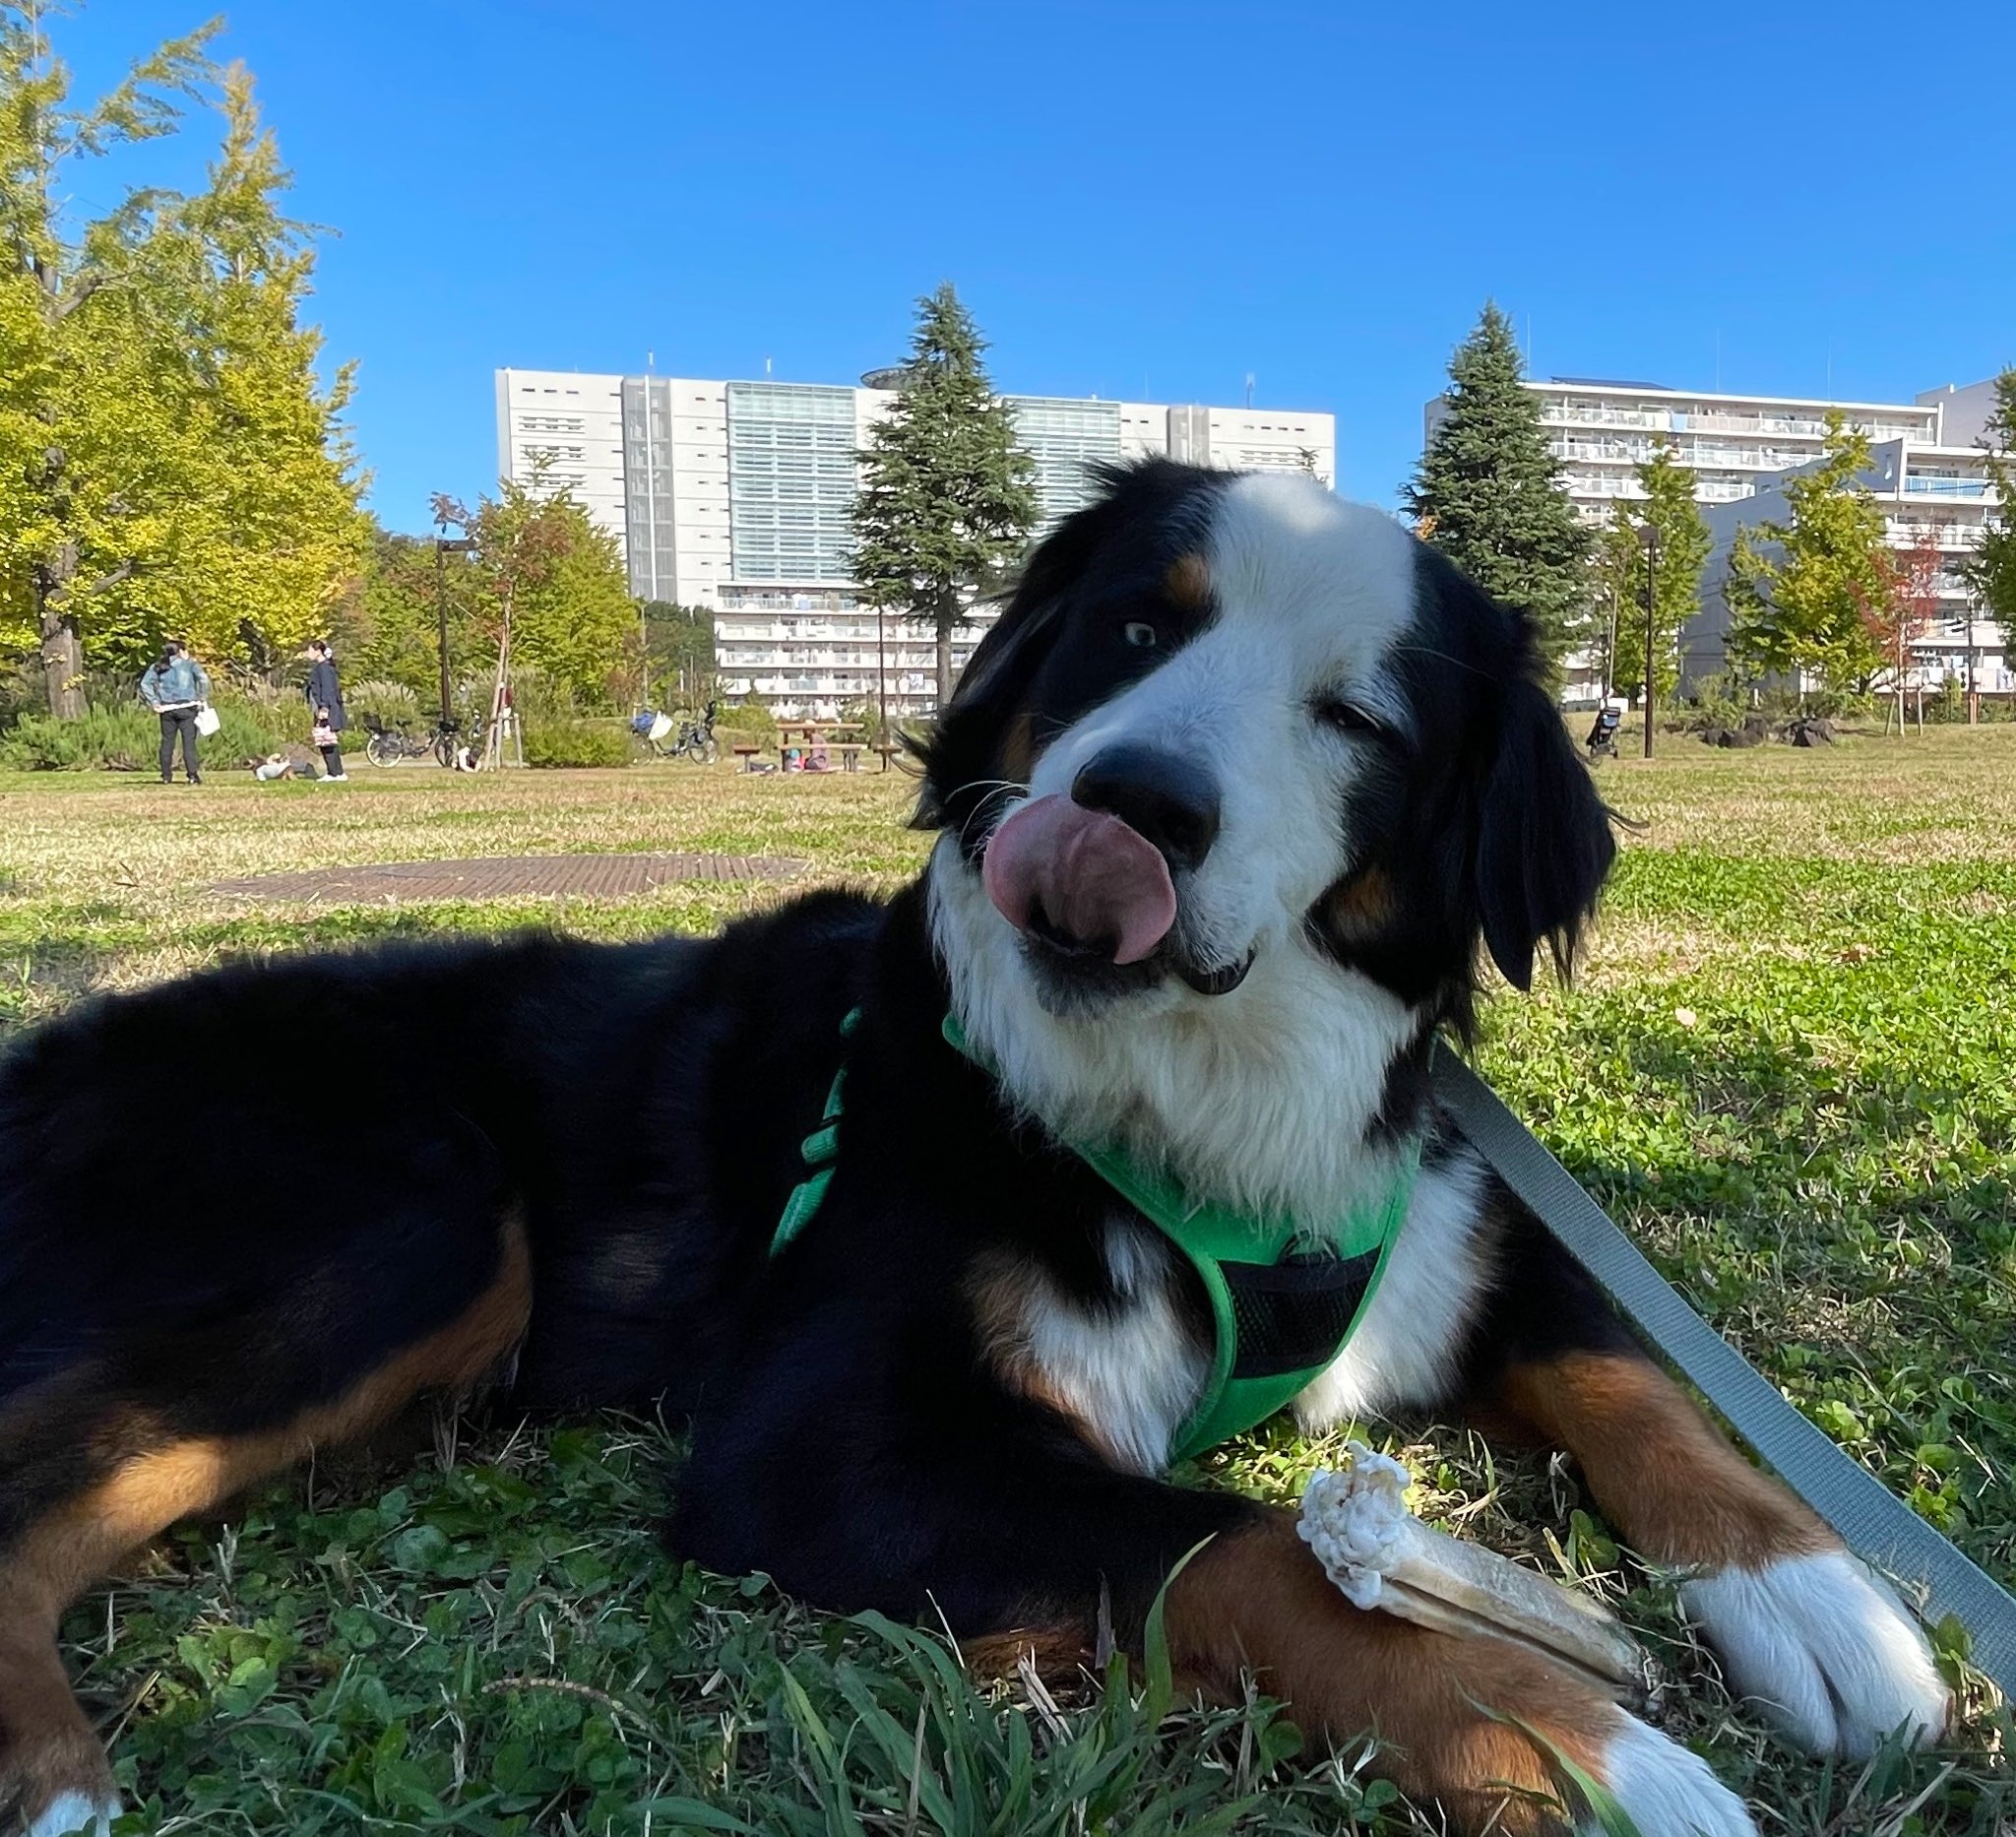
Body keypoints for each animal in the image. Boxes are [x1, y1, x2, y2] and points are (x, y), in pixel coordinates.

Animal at [0, 464, 1951, 1837]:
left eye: (1360, 716)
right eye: (1133, 631)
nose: (1130, 807)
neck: (1199, 1098)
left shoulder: (1454, 1228)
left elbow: (1643, 1381)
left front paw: (1821, 1600)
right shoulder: (828, 1443)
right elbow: (1242, 1549)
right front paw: (1587, 1745)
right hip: (417, 1214)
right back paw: (47, 1772)